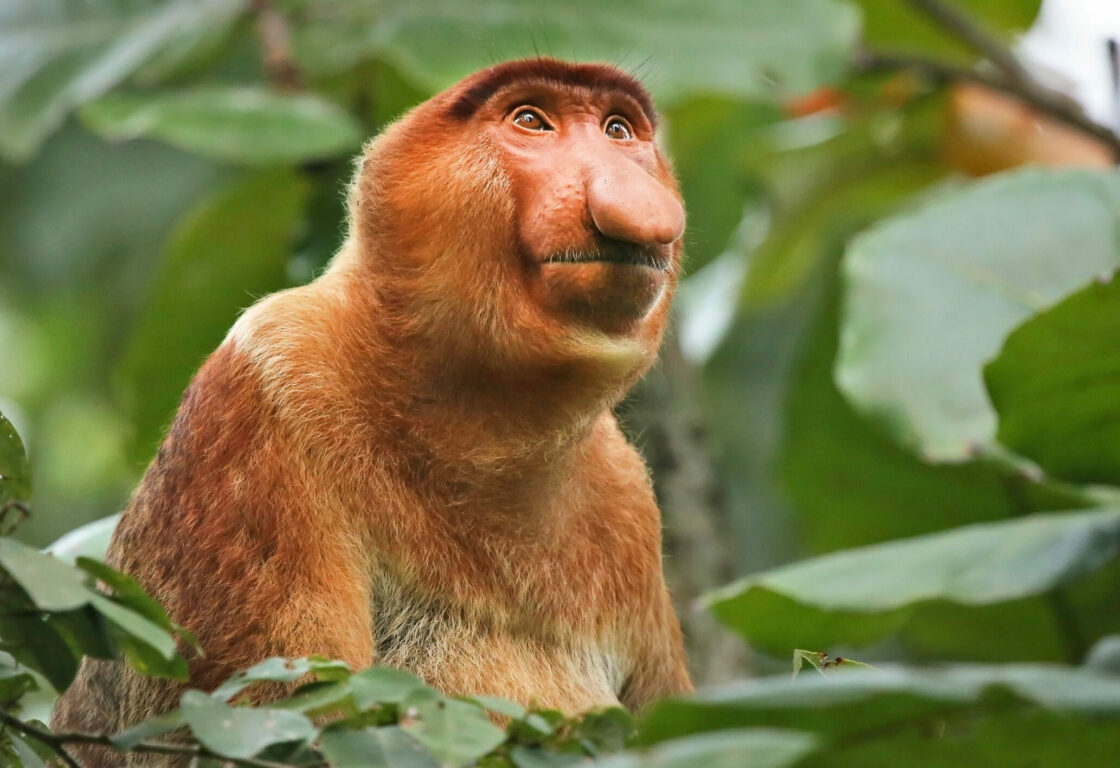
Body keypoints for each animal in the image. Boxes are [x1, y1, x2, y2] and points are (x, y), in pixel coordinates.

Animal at [51, 58, 692, 763]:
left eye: (617, 130)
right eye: (531, 120)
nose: (632, 194)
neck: (478, 434)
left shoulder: (626, 500)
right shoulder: (269, 388)